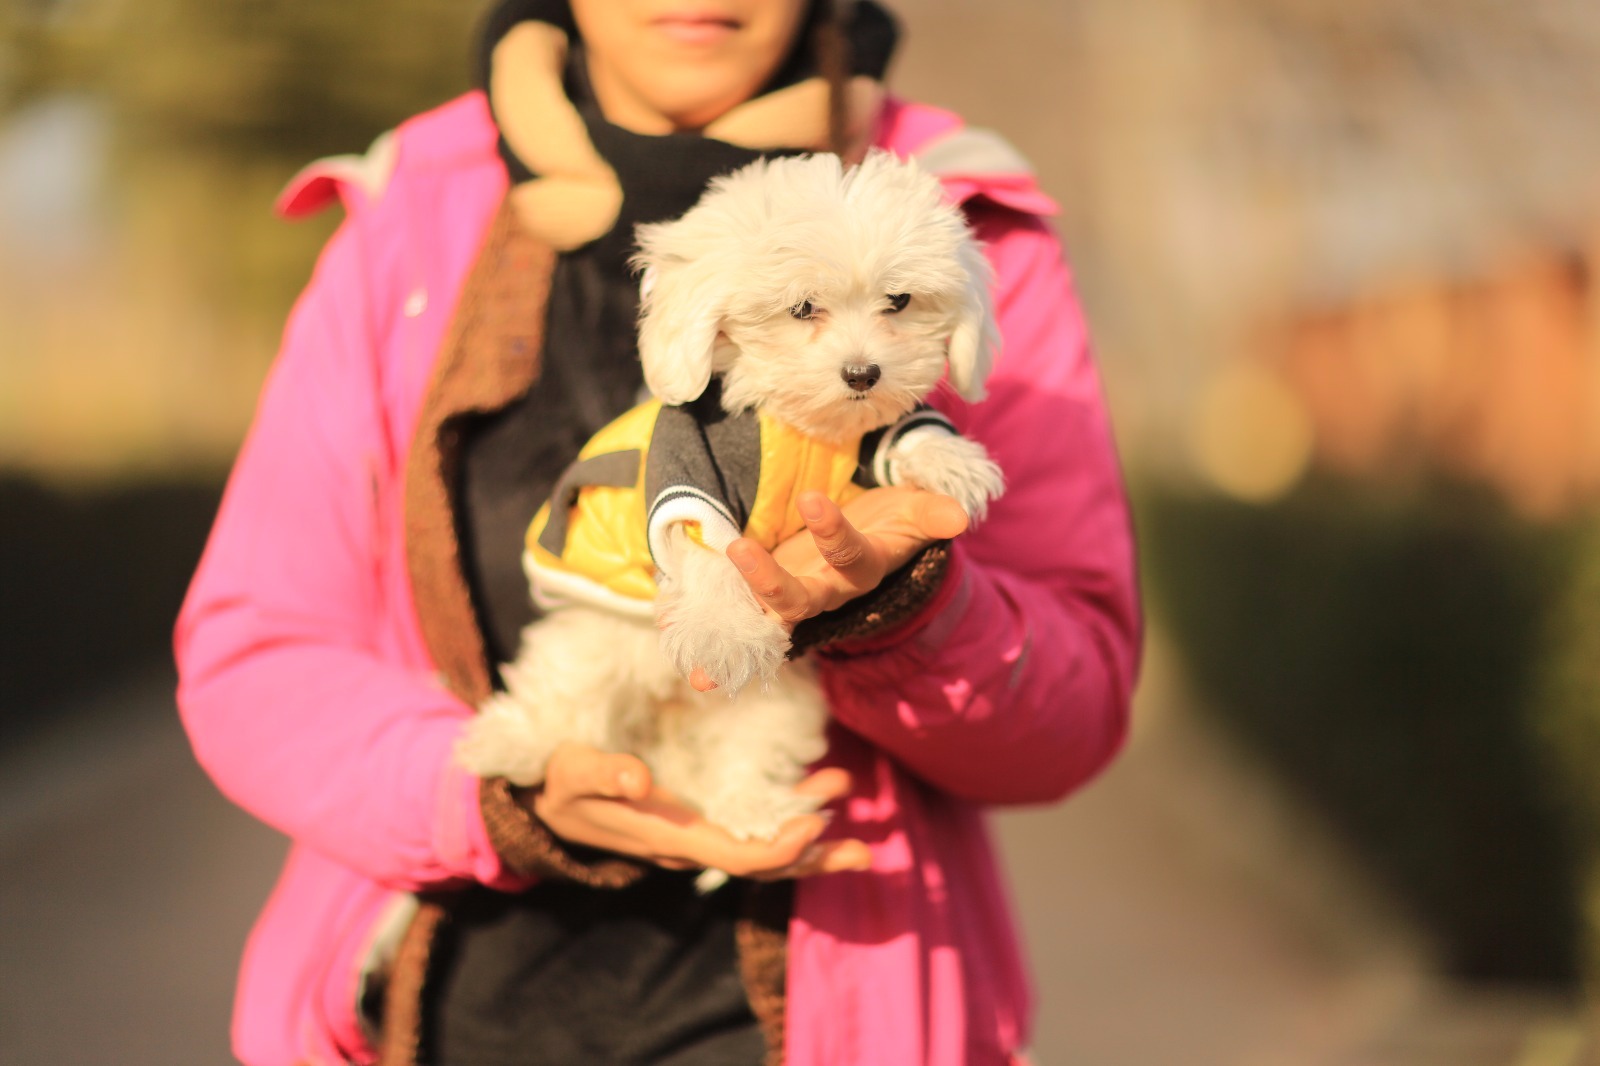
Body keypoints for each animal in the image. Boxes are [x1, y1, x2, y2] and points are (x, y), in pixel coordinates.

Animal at [460, 153, 998, 877]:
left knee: (749, 751)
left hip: (777, 704)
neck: (800, 431)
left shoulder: (865, 442)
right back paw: (506, 741)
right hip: (595, 641)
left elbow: (902, 435)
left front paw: (952, 462)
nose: (864, 374)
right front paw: (727, 632)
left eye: (900, 302)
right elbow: (708, 549)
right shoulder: (687, 471)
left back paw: (755, 812)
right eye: (803, 308)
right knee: (563, 698)